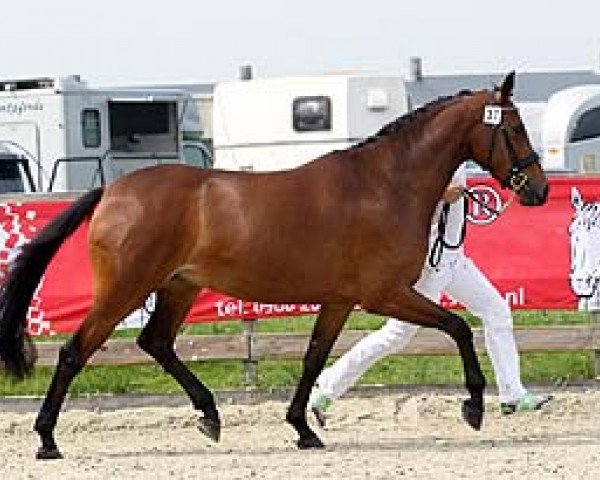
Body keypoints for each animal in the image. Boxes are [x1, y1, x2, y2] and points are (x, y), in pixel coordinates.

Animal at [0, 71, 548, 458]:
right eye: (516, 128)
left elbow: (312, 358)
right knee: (75, 351)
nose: (540, 190)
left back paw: (210, 415)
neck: (384, 185)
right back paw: (47, 439)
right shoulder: (383, 293)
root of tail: (112, 190)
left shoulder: (340, 299)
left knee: (154, 342)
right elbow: (458, 327)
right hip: (126, 288)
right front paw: (473, 405)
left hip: (178, 286)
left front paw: (303, 427)